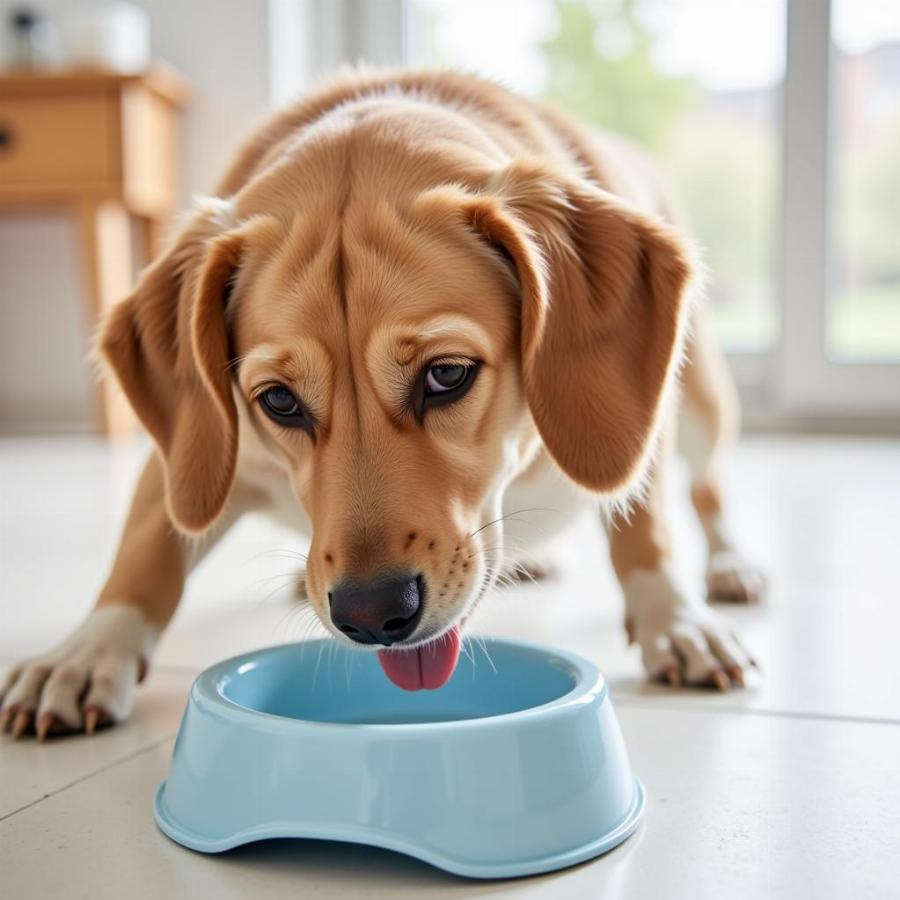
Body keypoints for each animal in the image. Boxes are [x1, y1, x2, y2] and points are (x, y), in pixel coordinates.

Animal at [0, 68, 764, 740]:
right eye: (278, 401)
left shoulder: (643, 429)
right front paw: (84, 653)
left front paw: (675, 620)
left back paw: (731, 565)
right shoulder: (191, 453)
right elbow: (144, 555)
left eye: (447, 374)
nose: (371, 616)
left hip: (700, 400)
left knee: (707, 490)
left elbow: (644, 526)